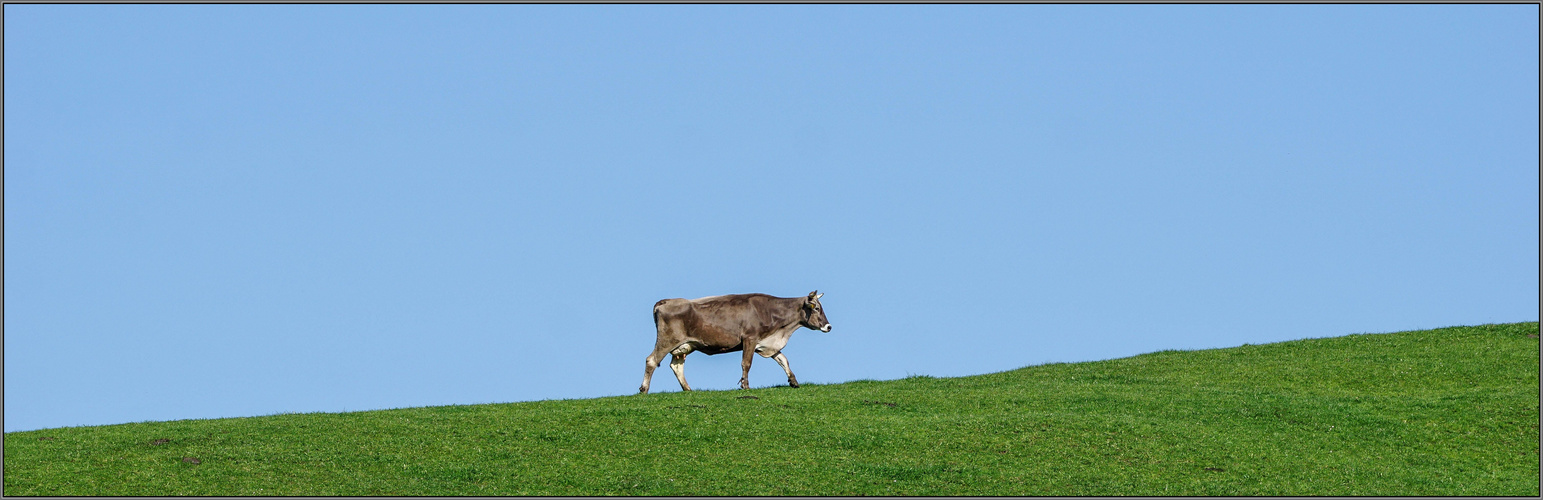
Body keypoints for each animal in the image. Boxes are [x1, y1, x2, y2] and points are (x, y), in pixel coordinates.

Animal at [638, 288, 833, 395]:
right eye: (816, 308)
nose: (829, 326)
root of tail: (665, 301)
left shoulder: (766, 343)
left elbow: (783, 360)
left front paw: (793, 381)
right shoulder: (749, 338)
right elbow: (746, 363)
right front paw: (745, 386)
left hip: (684, 346)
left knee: (676, 366)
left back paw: (688, 389)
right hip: (668, 339)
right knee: (651, 360)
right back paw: (644, 389)